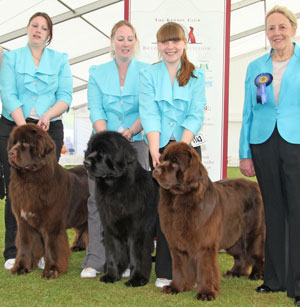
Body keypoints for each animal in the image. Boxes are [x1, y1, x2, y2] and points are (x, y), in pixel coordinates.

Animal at [7, 124, 89, 280]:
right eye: (14, 143)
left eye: (26, 142)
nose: (10, 153)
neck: (30, 181)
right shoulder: (24, 222)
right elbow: (25, 245)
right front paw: (21, 267)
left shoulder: (52, 223)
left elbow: (52, 246)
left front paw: (51, 270)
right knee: (83, 227)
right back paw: (78, 246)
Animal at [83, 131, 158, 288]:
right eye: (91, 150)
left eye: (103, 152)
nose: (86, 163)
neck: (116, 187)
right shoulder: (111, 227)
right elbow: (113, 253)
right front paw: (111, 275)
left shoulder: (138, 231)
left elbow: (137, 256)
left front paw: (137, 279)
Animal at [152, 143, 264, 302]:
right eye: (162, 159)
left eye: (175, 162)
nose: (155, 170)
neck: (179, 198)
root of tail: (255, 185)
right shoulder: (177, 243)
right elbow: (180, 267)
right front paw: (176, 287)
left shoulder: (205, 244)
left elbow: (206, 268)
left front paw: (206, 293)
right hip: (233, 238)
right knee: (241, 255)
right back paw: (235, 272)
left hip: (252, 233)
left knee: (256, 253)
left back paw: (256, 274)